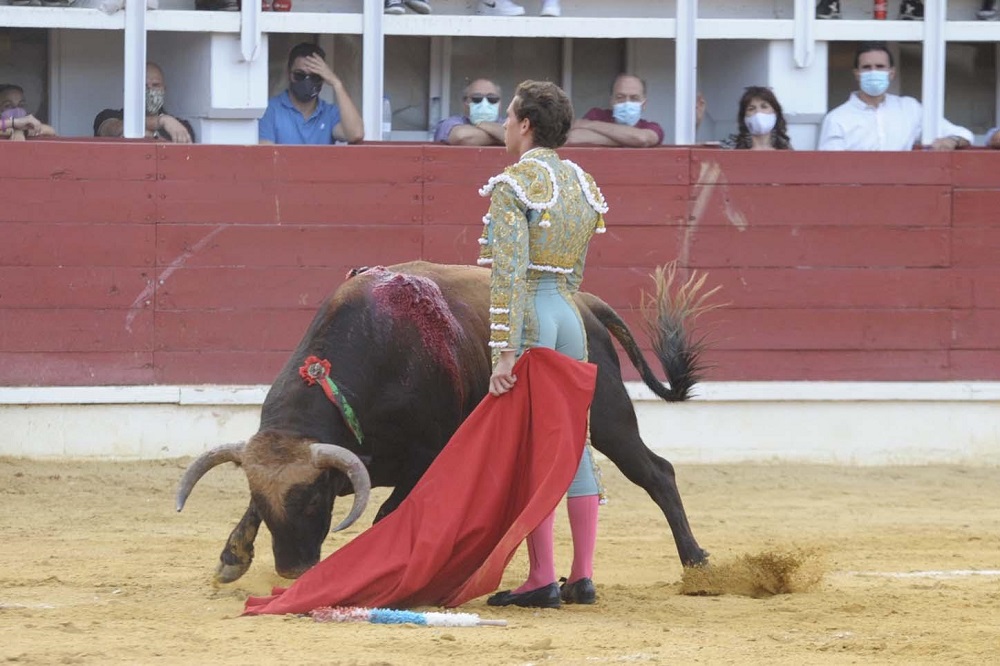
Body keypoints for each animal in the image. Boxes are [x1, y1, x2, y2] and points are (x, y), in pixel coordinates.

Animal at [178, 260, 712, 580]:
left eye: (312, 502)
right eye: (263, 502)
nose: (293, 569)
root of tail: (584, 303)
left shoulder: (423, 461)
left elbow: (388, 516)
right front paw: (232, 557)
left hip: (608, 416)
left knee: (657, 472)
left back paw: (695, 559)